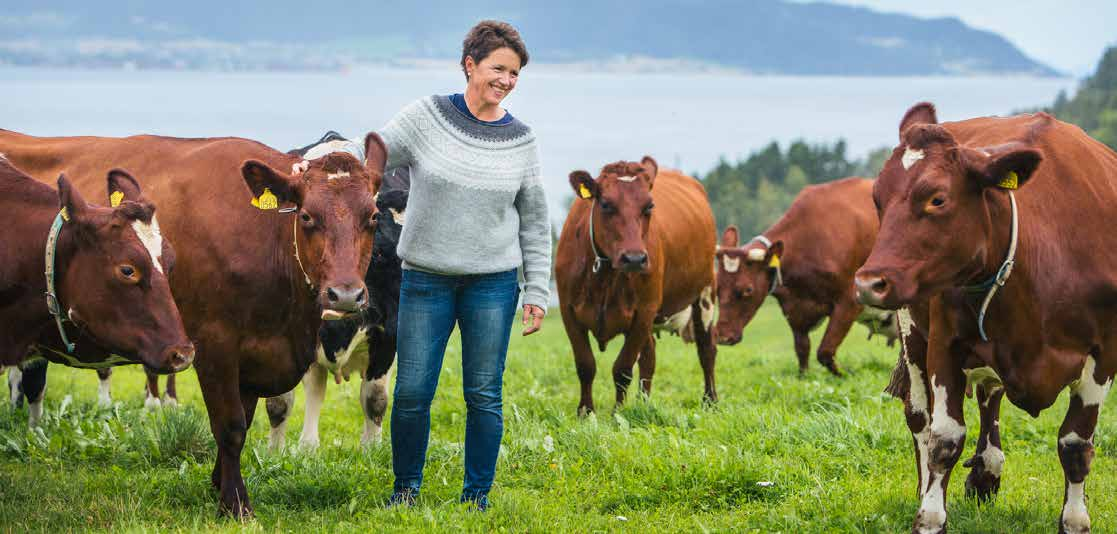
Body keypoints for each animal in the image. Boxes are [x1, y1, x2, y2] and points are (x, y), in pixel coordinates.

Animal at [554, 156, 719, 415]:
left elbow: (622, 368)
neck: (605, 278)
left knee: (706, 349)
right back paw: (644, 403)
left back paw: (710, 400)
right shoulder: (568, 311)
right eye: (606, 204)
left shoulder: (644, 311)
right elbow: (585, 365)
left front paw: (618, 412)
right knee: (649, 357)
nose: (634, 259)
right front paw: (585, 411)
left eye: (649, 206)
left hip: (705, 293)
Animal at [714, 176, 898, 375]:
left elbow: (825, 352)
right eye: (717, 288)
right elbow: (802, 350)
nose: (722, 336)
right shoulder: (794, 310)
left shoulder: (850, 301)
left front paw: (845, 374)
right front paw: (805, 376)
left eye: (747, 289)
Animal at [853, 104, 1117, 534]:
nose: (868, 283)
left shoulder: (1104, 352)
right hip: (913, 331)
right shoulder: (945, 344)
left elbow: (1076, 444)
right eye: (878, 200)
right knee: (920, 420)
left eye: (937, 199)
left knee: (989, 395)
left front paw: (1075, 520)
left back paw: (986, 472)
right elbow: (944, 439)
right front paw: (930, 518)